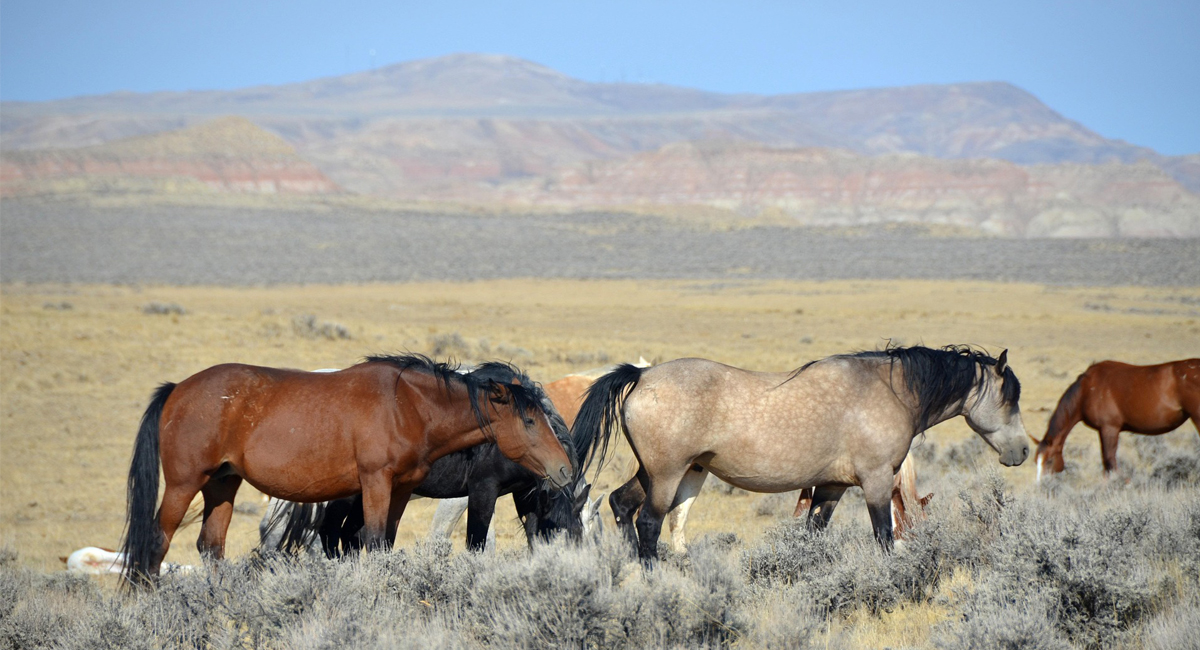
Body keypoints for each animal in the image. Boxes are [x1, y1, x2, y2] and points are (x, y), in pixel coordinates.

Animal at [260, 362, 595, 555]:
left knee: (346, 536)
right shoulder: (481, 489)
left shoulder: (525, 496)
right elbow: (475, 543)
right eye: (562, 537)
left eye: (579, 538)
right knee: (329, 534)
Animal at [573, 345, 1028, 561]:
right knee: (648, 522)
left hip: (656, 472)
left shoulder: (831, 488)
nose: (1022, 451)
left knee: (621, 504)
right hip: (668, 475)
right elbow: (884, 536)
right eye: (1010, 396)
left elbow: (813, 535)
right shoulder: (877, 482)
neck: (889, 391)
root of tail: (642, 374)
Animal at [1033, 358, 1200, 481]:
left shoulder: (1109, 429)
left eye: (1049, 460)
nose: (1042, 486)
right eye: (1036, 461)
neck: (1087, 390)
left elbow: (1109, 461)